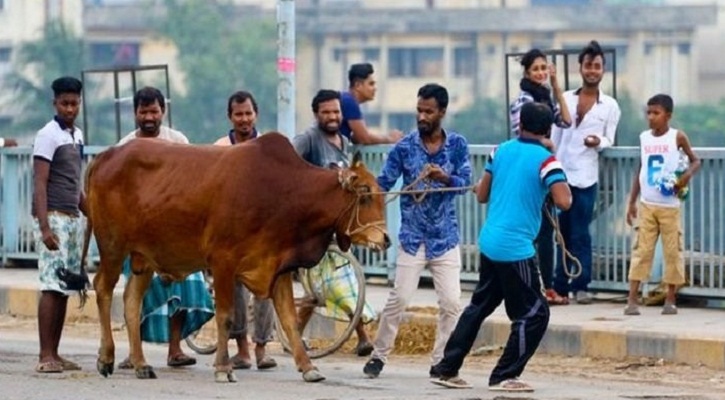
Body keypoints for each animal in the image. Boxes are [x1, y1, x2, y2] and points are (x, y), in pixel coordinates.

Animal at [83, 131, 390, 382]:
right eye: (364, 195)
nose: (385, 239)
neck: (285, 192)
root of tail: (108, 155)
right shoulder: (222, 263)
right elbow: (226, 317)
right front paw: (223, 368)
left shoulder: (276, 267)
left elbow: (290, 321)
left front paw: (308, 368)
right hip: (112, 247)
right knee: (103, 290)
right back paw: (106, 358)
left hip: (142, 258)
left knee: (132, 303)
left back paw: (141, 364)